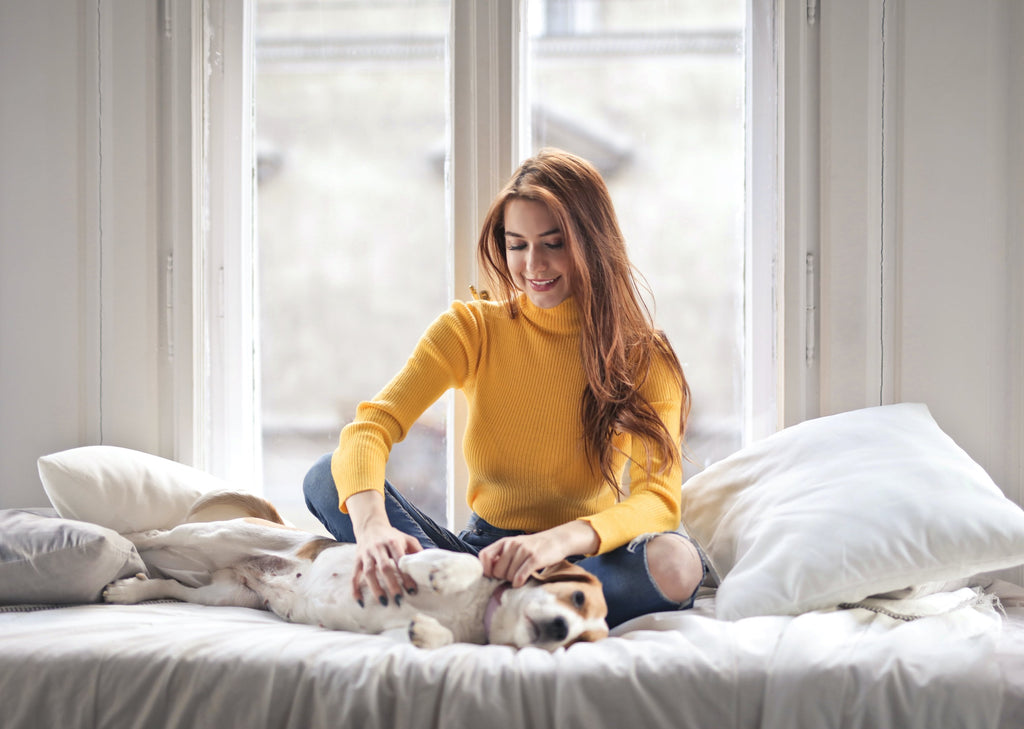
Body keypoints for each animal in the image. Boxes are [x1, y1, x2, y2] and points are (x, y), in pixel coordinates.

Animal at [101, 493, 606, 651]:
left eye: (577, 641)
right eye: (577, 598)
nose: (560, 629)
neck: (477, 611)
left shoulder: (391, 631)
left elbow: (429, 635)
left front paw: (429, 632)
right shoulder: (407, 557)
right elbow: (461, 561)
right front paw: (449, 577)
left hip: (226, 595)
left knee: (168, 583)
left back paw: (127, 591)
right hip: (216, 535)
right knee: (155, 534)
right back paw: (117, 536)